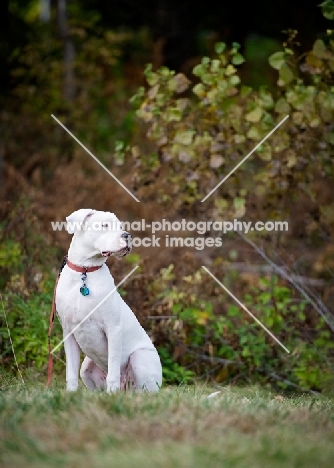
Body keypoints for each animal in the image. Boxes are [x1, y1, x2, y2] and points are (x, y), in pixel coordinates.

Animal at [55, 208, 162, 392]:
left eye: (121, 227)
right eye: (104, 225)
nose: (127, 235)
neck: (85, 271)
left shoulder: (113, 329)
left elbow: (112, 370)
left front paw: (112, 393)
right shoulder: (68, 332)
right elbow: (71, 373)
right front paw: (70, 394)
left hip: (140, 357)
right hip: (86, 368)